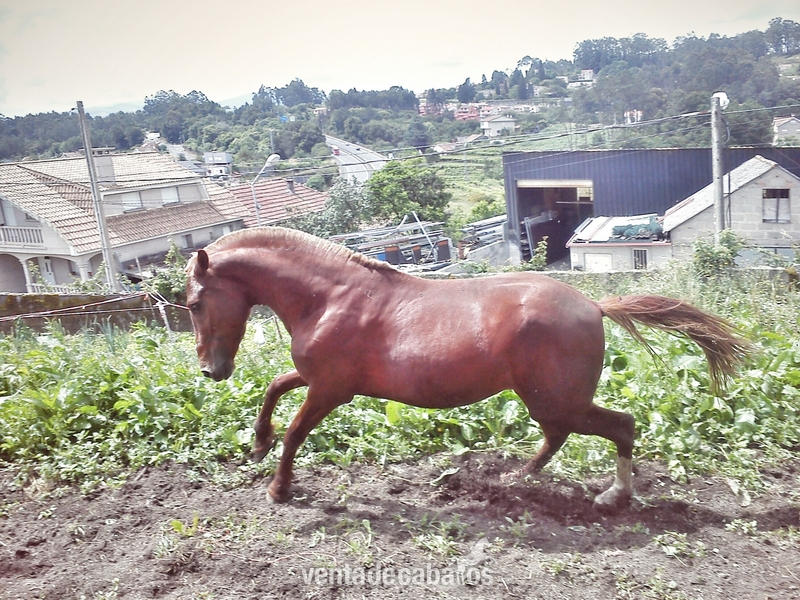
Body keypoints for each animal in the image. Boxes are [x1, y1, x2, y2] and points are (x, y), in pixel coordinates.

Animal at [185, 227, 751, 508]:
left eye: (192, 303)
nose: (212, 371)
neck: (329, 298)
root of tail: (595, 306)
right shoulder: (320, 378)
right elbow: (274, 388)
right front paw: (257, 444)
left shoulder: (329, 389)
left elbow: (296, 432)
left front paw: (279, 488)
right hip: (547, 400)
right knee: (560, 437)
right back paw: (516, 479)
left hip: (555, 399)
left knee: (619, 426)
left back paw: (612, 496)